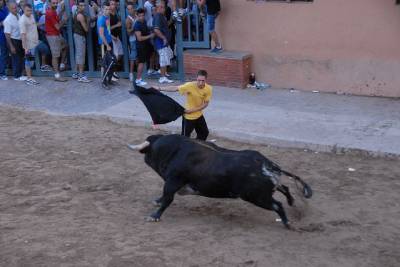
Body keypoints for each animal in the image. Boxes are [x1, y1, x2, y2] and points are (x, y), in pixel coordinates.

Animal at [128, 134, 312, 228]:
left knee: (277, 205)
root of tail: (268, 166)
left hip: (256, 197)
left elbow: (167, 198)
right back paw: (292, 202)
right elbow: (164, 197)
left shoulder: (173, 181)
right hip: (266, 190)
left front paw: (154, 216)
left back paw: (287, 223)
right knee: (284, 187)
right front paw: (156, 202)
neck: (175, 149)